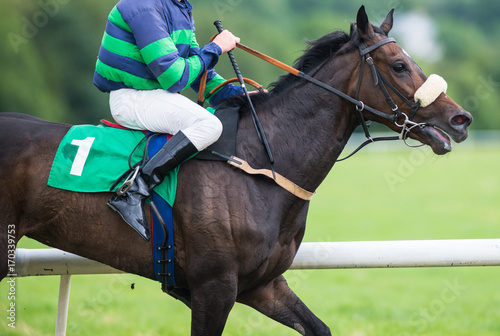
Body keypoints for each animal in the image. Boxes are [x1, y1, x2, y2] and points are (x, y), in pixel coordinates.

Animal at [0, 6, 470, 334]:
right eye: (399, 65)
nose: (460, 119)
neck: (261, 161)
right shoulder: (214, 287)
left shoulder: (262, 285)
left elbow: (319, 327)